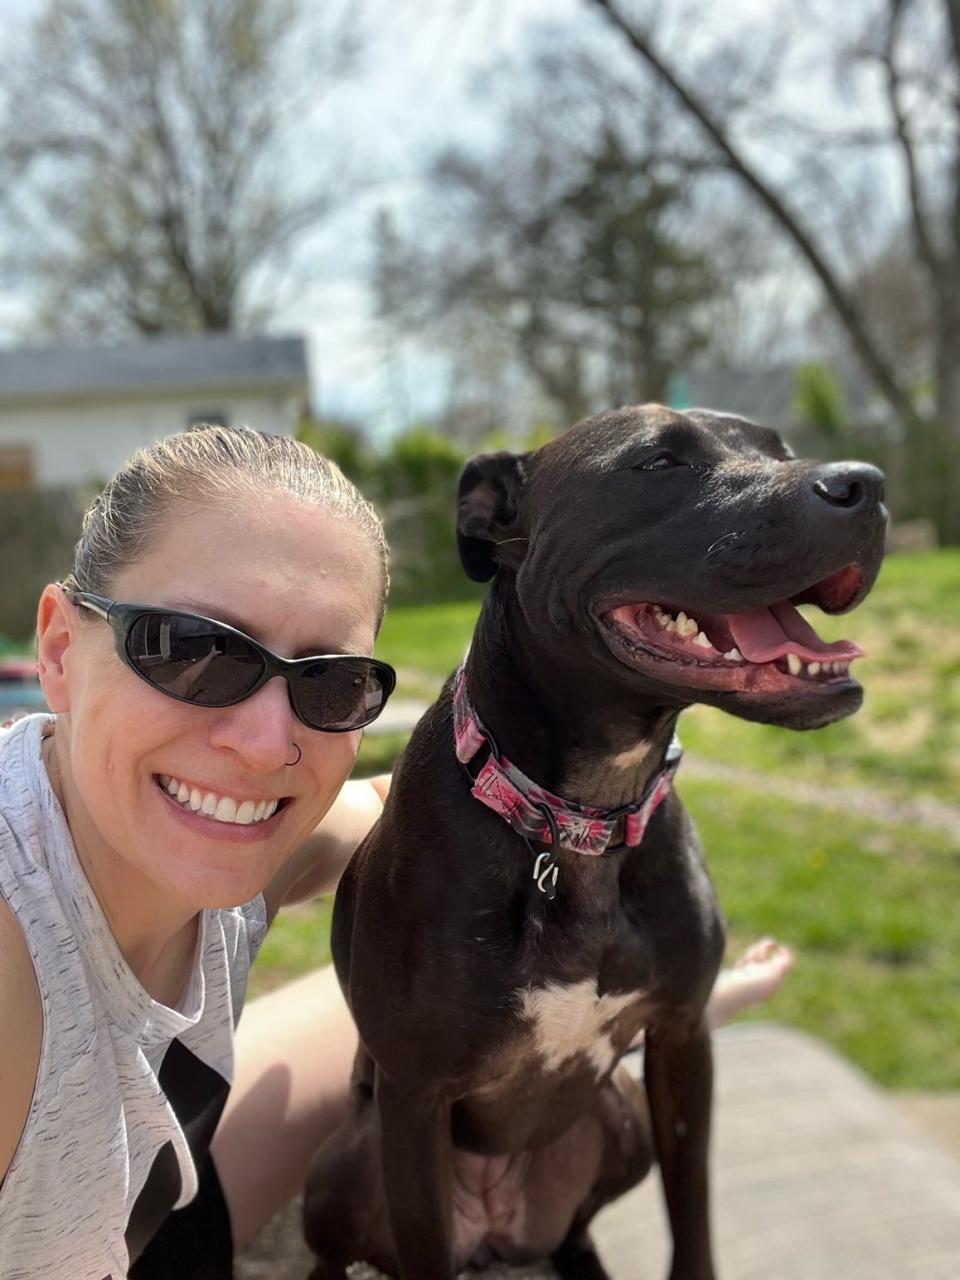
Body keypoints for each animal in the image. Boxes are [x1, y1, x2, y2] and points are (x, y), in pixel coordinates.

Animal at [304, 404, 890, 1274]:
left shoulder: (681, 1043)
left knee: (576, 1224)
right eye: (657, 463)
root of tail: (496, 1230)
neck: (580, 822)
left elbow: (693, 1217)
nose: (866, 485)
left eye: (780, 449)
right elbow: (422, 1250)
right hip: (347, 1164)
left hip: (619, 1121)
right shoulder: (414, 1099)